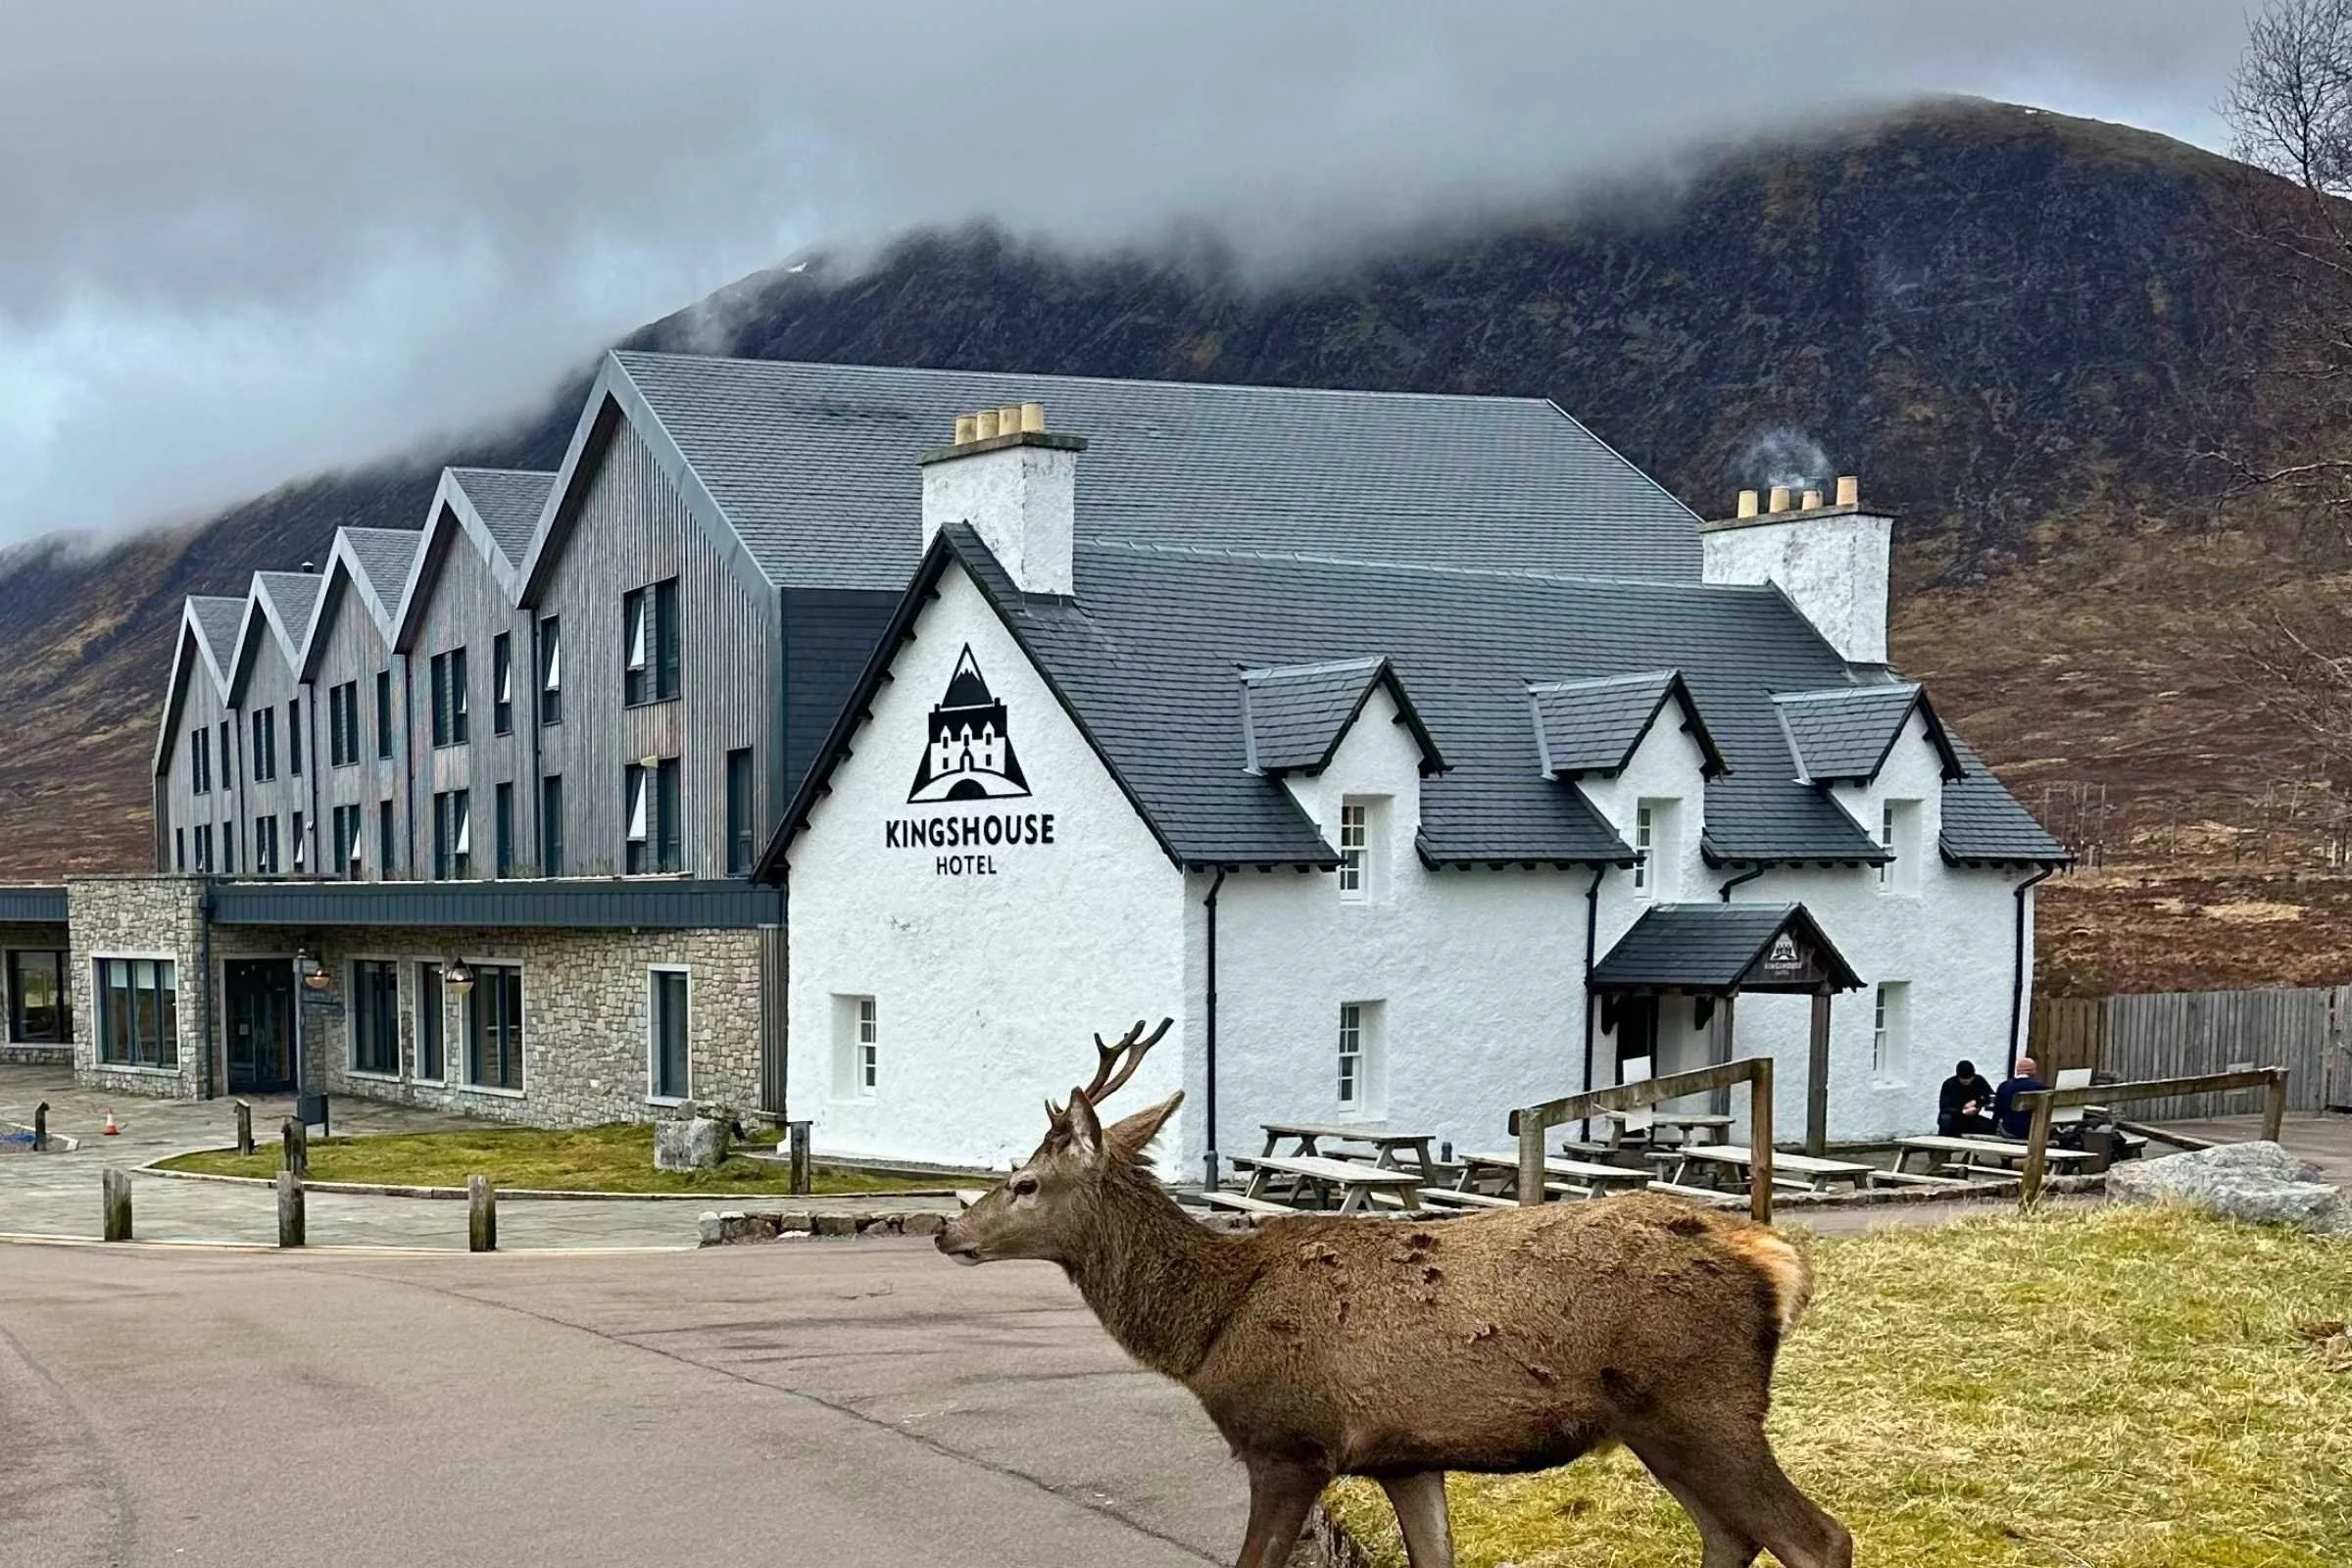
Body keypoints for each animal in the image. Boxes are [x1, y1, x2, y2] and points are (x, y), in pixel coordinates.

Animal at [937, 1019, 1852, 1568]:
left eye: (1023, 1182)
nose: (948, 1231)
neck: (1206, 1328)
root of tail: (1776, 1256)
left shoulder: (1289, 1442)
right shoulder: (1406, 1457)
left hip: (1703, 1402)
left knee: (1817, 1538)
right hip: (1660, 1423)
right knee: (1731, 1534)